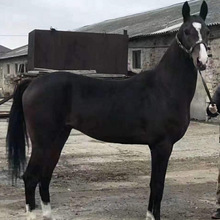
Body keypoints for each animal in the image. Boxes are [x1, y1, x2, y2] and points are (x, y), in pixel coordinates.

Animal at [6, 0, 210, 219]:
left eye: (207, 31)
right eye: (186, 31)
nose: (202, 61)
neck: (164, 88)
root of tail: (33, 82)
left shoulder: (159, 146)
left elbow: (156, 185)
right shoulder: (162, 146)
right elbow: (157, 185)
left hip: (58, 138)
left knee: (45, 176)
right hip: (42, 141)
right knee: (30, 177)